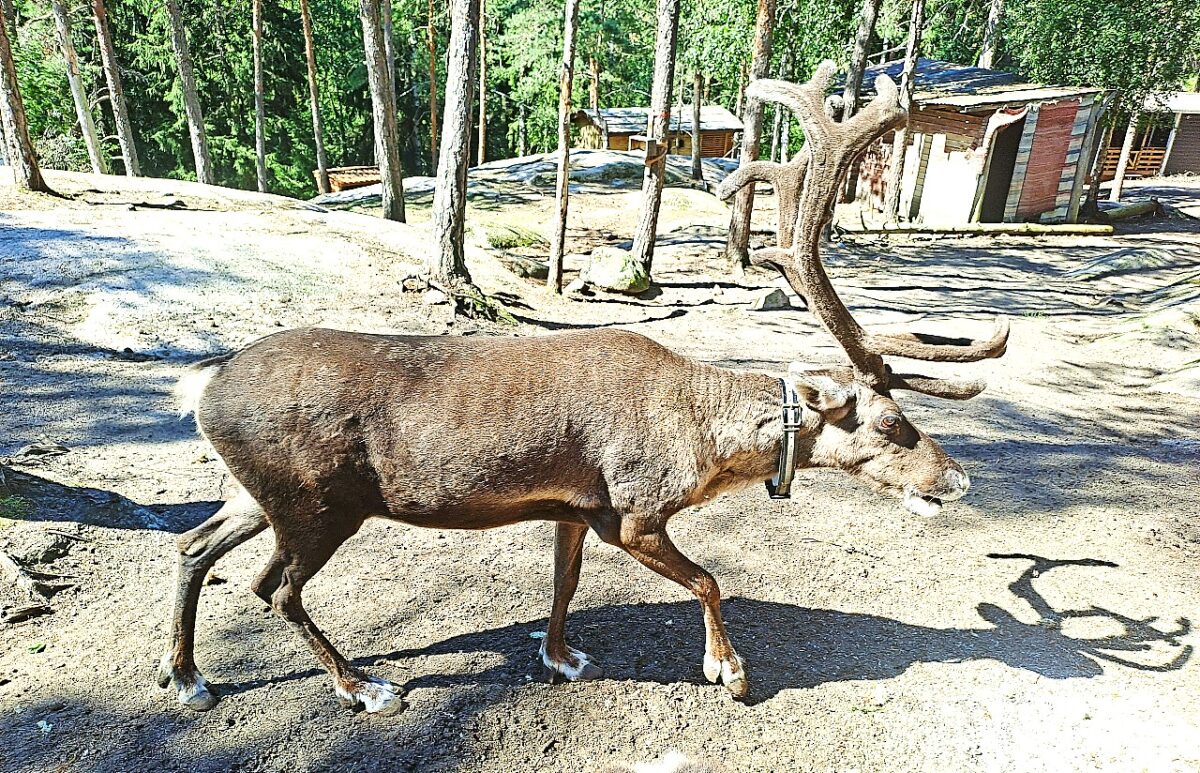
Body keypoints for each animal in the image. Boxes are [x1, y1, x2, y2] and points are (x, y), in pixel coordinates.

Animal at [157, 62, 1009, 716]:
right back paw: (362, 686)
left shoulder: (571, 504)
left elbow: (563, 583)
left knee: (193, 543)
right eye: (892, 423)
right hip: (316, 504)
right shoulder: (632, 511)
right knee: (274, 587)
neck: (708, 444)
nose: (958, 479)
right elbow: (710, 578)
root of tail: (204, 382)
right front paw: (728, 670)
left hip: (257, 492)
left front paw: (560, 654)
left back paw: (187, 674)